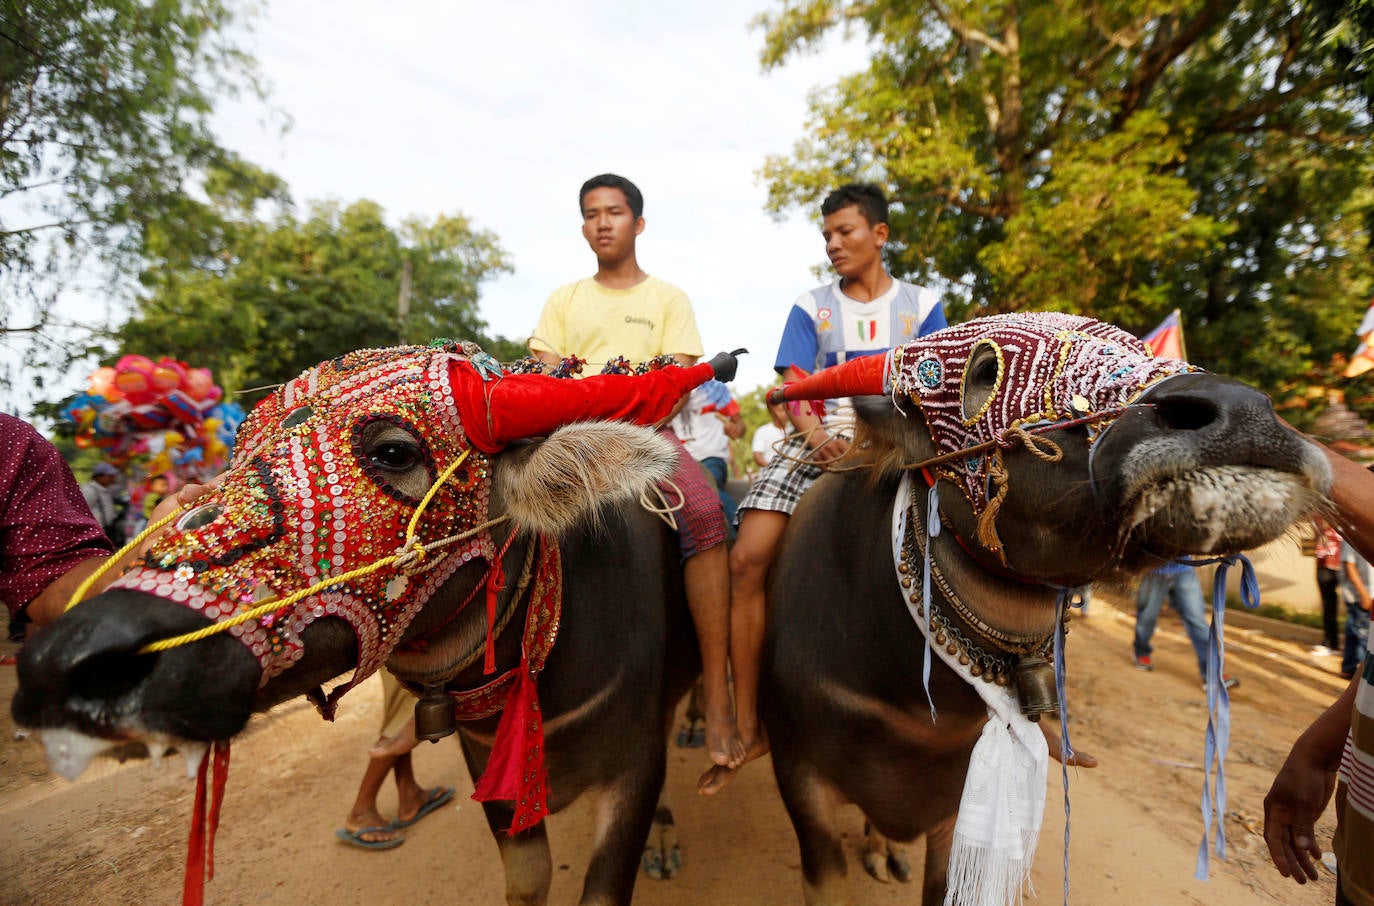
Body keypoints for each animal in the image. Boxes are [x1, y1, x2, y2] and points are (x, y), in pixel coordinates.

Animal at [10, 342, 741, 906]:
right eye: (238, 456)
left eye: (393, 451)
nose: (71, 658)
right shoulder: (491, 774)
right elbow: (527, 879)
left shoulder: (635, 763)